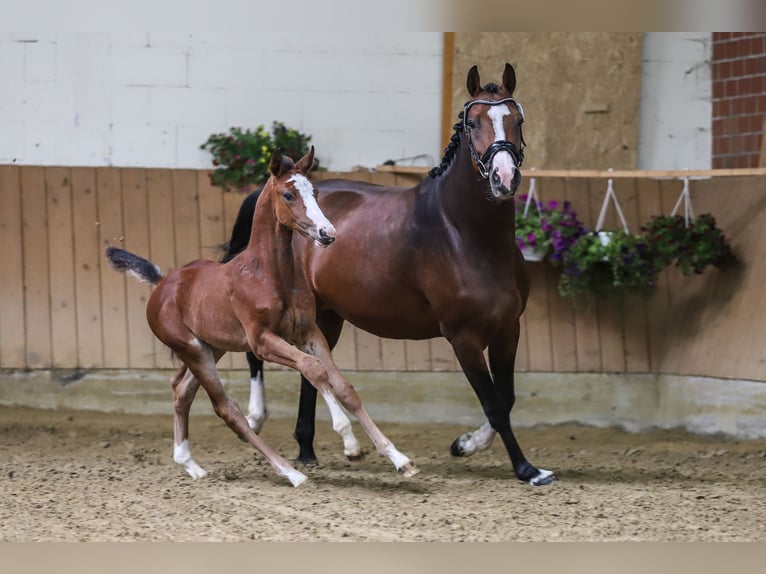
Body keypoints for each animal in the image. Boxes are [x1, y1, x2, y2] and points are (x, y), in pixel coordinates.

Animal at [105, 147, 416, 486]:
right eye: (288, 194)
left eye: (316, 192)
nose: (328, 233)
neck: (269, 274)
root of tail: (162, 283)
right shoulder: (263, 341)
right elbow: (314, 370)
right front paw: (348, 438)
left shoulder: (308, 333)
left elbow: (342, 384)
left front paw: (399, 459)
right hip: (194, 350)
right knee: (227, 409)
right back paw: (291, 473)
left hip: (211, 347)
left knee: (181, 389)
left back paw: (190, 465)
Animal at [225, 64, 556, 486]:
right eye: (473, 123)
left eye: (518, 119)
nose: (503, 177)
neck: (466, 235)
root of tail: (267, 191)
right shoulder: (463, 337)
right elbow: (495, 404)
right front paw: (527, 469)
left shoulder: (507, 329)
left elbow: (506, 399)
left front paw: (465, 444)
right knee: (258, 356)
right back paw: (258, 418)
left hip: (325, 316)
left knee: (310, 370)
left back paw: (310, 448)